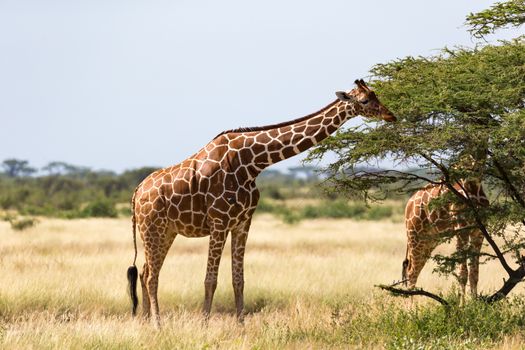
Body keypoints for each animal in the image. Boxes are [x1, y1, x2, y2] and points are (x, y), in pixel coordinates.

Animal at [128, 79, 398, 328]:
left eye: (376, 95)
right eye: (365, 100)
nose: (391, 115)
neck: (252, 162)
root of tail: (136, 192)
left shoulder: (243, 222)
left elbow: (238, 279)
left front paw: (241, 326)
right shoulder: (219, 221)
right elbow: (210, 279)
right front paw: (204, 326)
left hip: (166, 231)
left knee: (145, 271)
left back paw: (145, 322)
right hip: (152, 229)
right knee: (151, 276)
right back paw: (157, 325)